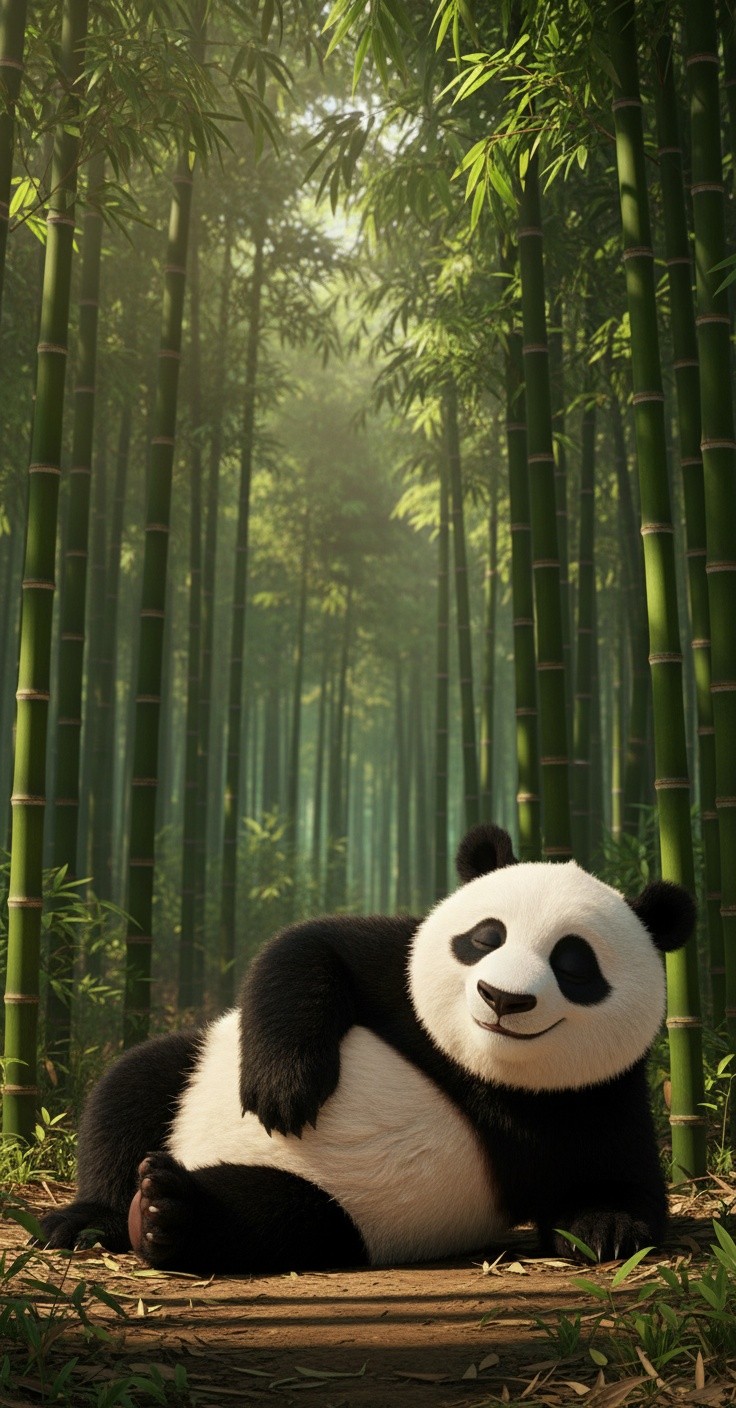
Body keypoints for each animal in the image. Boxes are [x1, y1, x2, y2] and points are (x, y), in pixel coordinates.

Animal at [41, 822, 695, 1274]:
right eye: (486, 937)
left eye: (574, 965)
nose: (502, 998)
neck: (478, 1067)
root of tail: (192, 1150)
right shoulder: (398, 975)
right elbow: (309, 948)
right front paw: (284, 1090)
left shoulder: (596, 1094)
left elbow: (620, 1180)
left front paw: (604, 1226)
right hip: (196, 1064)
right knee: (132, 1087)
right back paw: (92, 1218)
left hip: (337, 1212)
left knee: (277, 1218)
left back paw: (165, 1211)